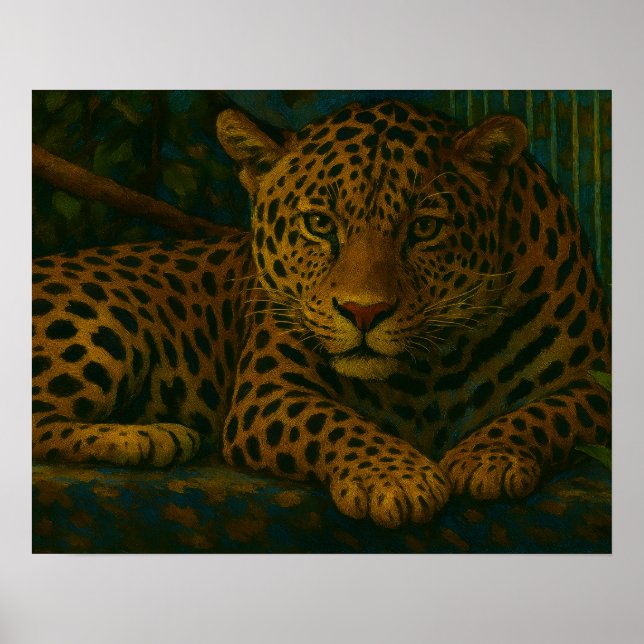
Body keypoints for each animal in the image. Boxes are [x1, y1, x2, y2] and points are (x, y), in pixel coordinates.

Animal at [32, 100, 611, 529]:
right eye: (319, 224)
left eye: (424, 229)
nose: (363, 312)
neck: (431, 370)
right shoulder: (272, 391)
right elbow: (337, 423)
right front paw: (398, 480)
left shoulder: (595, 382)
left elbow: (545, 413)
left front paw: (486, 458)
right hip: (103, 323)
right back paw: (151, 437)